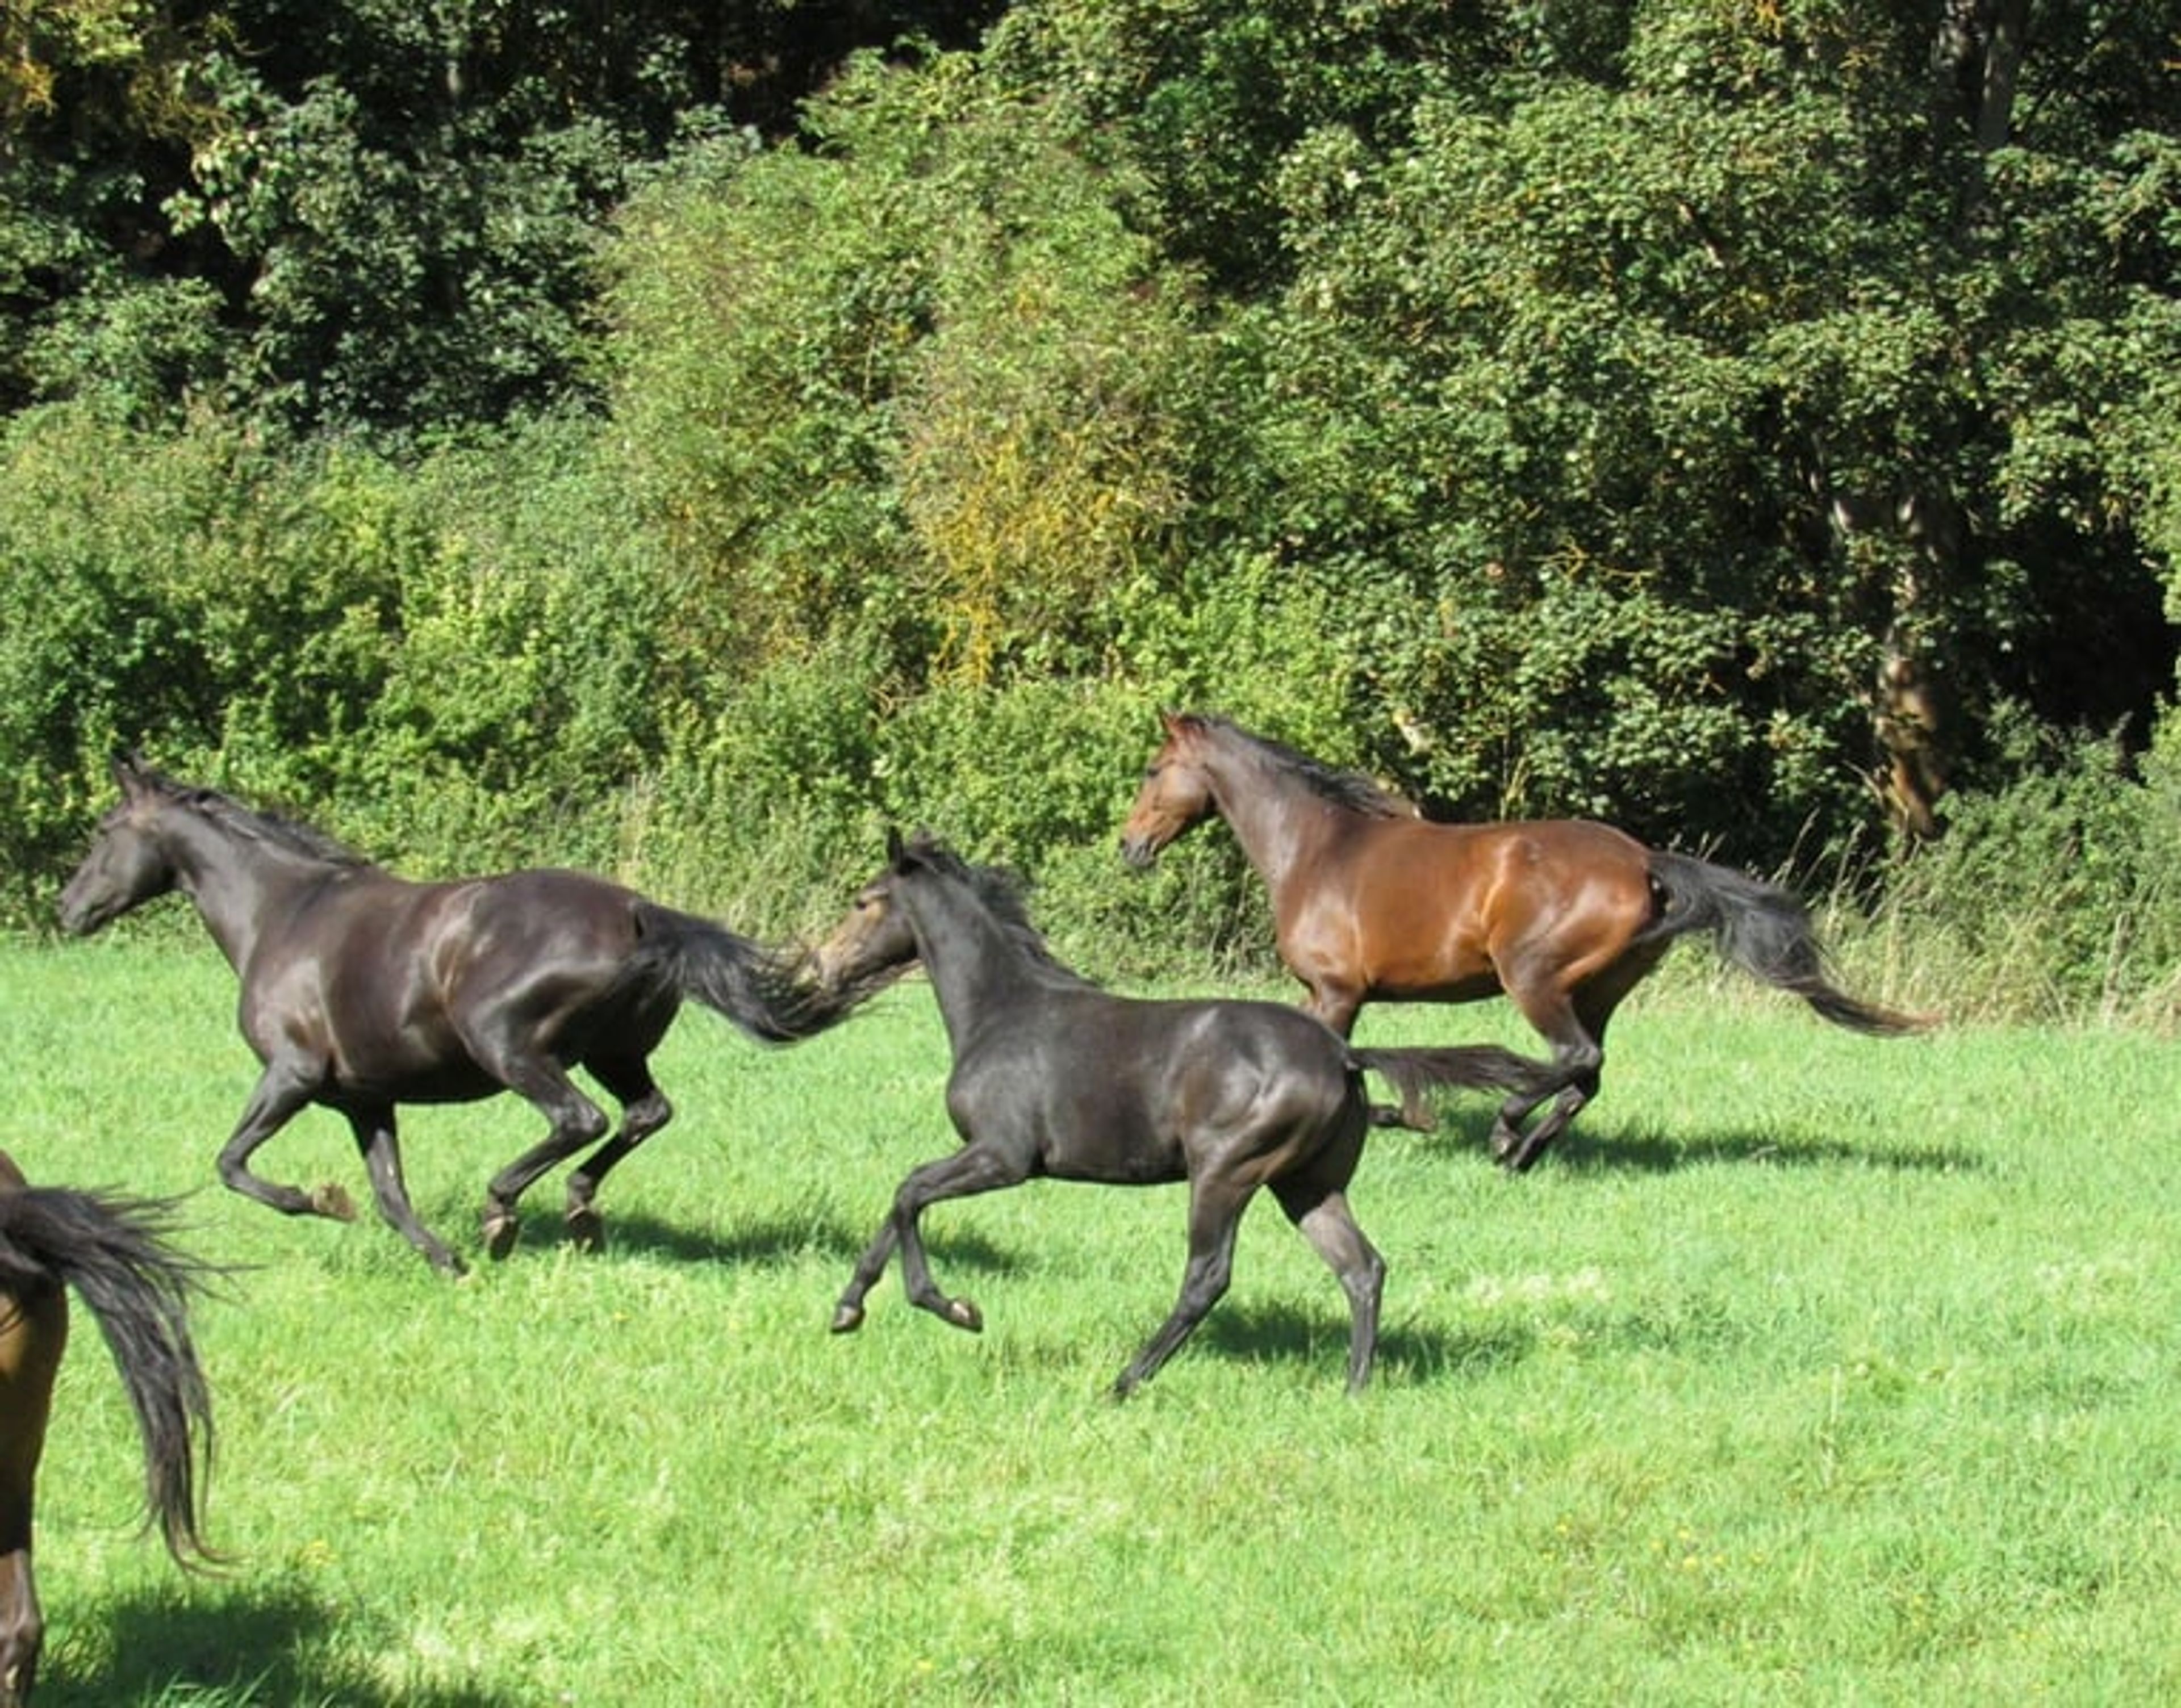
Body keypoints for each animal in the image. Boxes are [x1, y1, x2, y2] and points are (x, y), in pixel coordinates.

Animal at [58, 753, 863, 1275]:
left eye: (103, 830)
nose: (68, 910)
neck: (282, 914)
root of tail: (638, 912)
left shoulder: (291, 1073)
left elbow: (232, 1162)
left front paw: (319, 1199)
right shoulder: (365, 1098)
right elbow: (389, 1191)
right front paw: (444, 1262)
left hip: (508, 1045)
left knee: (579, 1118)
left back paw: (502, 1212)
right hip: (618, 1053)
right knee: (645, 1113)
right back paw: (578, 1210)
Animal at [808, 831, 1541, 1395]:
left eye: (863, 901)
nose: (823, 965)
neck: (1001, 1008)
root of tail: (1343, 1053)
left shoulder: (1003, 1155)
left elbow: (910, 1191)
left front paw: (956, 1307)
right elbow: (900, 1199)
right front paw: (847, 1307)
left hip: (1226, 1172)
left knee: (1207, 1276)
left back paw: (1127, 1379)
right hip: (1306, 1183)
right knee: (1361, 1267)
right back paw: (1353, 1387)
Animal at [1119, 711, 1927, 1170]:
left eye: (1155, 769)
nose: (1130, 846)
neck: (1316, 849)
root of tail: (1643, 861)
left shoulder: (1336, 990)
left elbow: (1341, 1060)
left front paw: (1394, 1116)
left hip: (1534, 977)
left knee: (1575, 1058)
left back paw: (1507, 1128)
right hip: (1598, 988)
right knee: (1588, 1072)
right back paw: (1524, 1150)